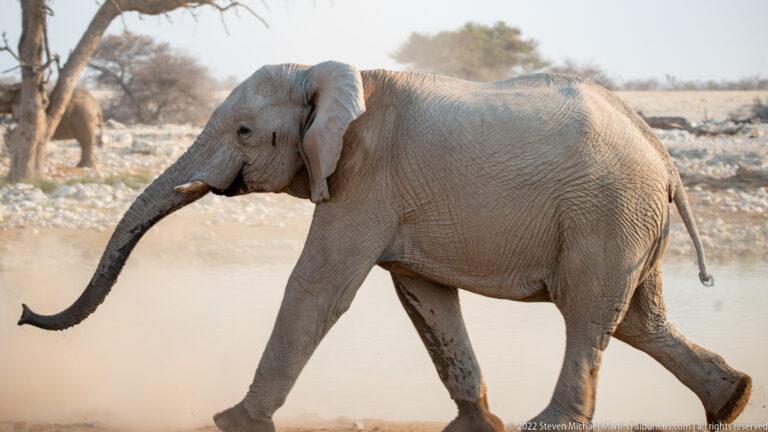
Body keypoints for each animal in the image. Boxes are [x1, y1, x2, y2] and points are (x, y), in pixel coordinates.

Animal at [18, 61, 751, 431]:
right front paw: (474, 426)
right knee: (637, 320)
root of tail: (664, 156)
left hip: (606, 210)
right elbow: (424, 297)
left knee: (589, 311)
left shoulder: (366, 175)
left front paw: (231, 421)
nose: (23, 312)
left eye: (246, 131)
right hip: (627, 218)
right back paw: (733, 400)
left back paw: (553, 424)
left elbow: (318, 287)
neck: (330, 74)